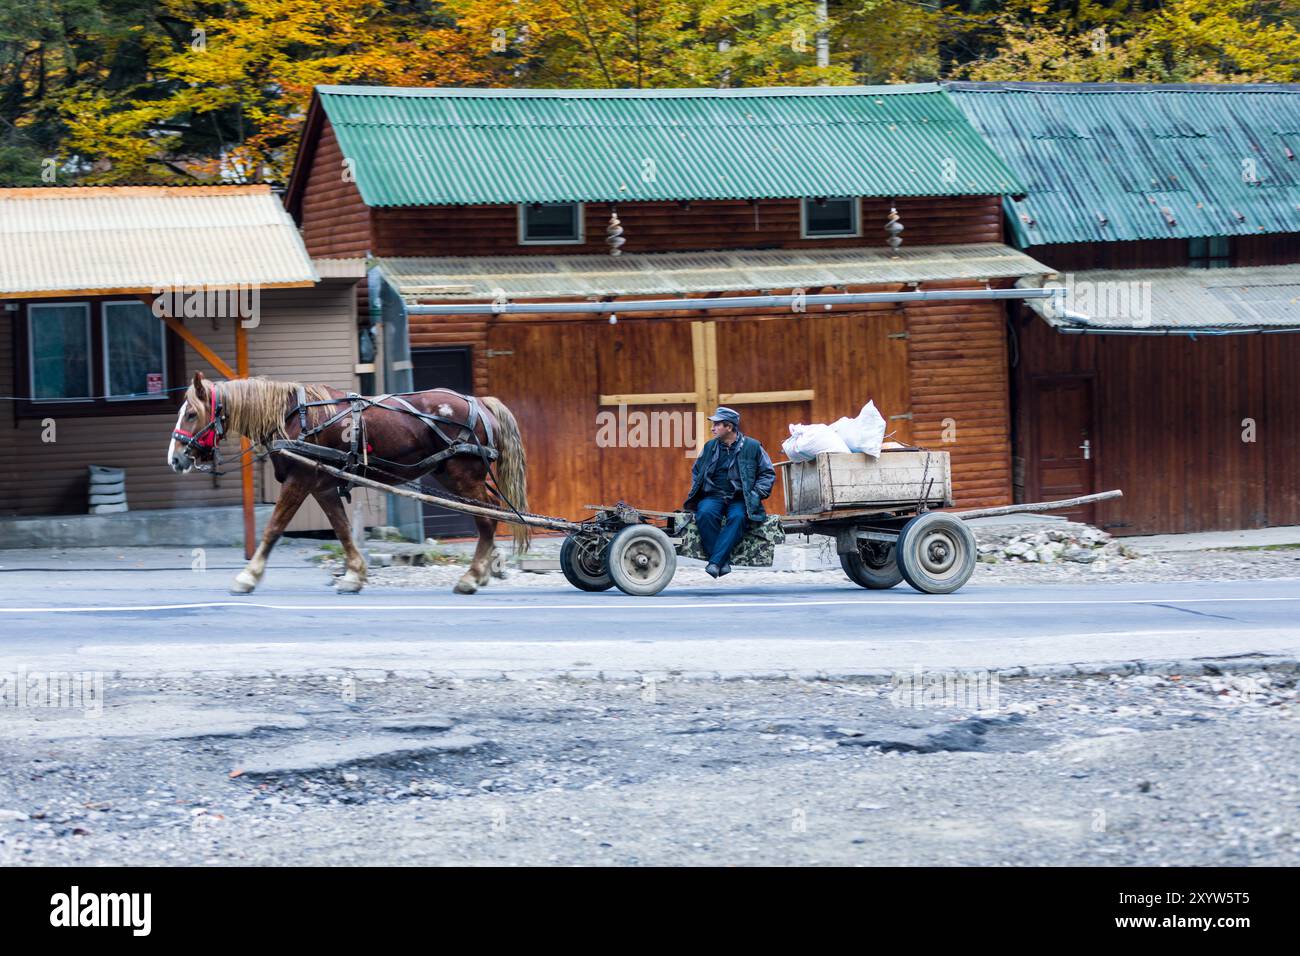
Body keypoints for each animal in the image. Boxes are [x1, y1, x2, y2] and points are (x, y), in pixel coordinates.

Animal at [167, 374, 527, 595]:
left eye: (191, 414)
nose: (175, 458)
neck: (291, 417)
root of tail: (481, 403)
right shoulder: (322, 486)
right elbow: (341, 528)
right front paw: (354, 574)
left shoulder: (299, 480)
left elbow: (273, 528)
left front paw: (248, 576)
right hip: (457, 476)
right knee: (491, 513)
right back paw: (485, 569)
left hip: (462, 476)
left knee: (488, 518)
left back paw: (472, 576)